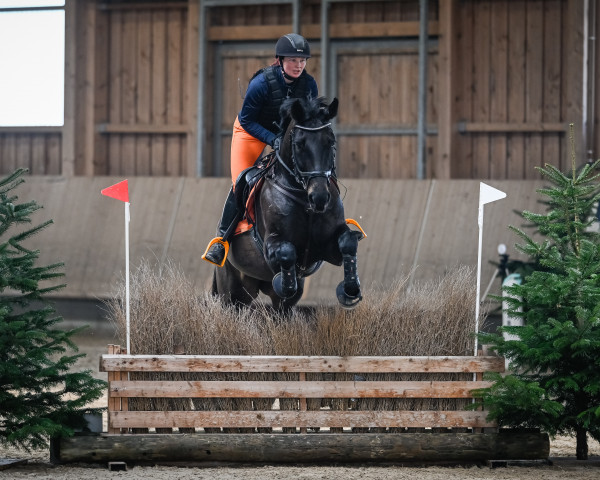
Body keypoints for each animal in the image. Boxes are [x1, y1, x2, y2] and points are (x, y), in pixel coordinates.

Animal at [214, 96, 366, 312]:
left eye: (331, 142)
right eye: (300, 144)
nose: (319, 197)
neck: (305, 201)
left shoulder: (329, 248)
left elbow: (348, 242)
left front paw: (350, 290)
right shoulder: (271, 246)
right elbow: (287, 252)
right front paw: (285, 283)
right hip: (231, 291)